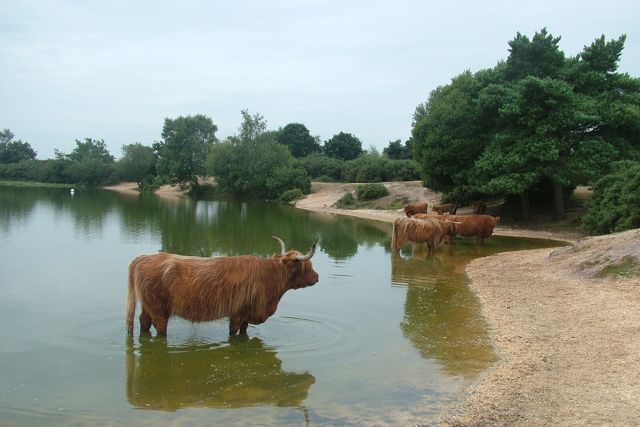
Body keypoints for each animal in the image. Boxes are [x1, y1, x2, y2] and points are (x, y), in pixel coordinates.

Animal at [127, 237, 320, 338]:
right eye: (307, 267)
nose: (317, 276)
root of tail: (142, 258)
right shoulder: (237, 314)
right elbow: (233, 334)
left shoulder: (247, 315)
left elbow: (243, 331)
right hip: (159, 311)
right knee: (159, 329)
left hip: (148, 307)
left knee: (143, 322)